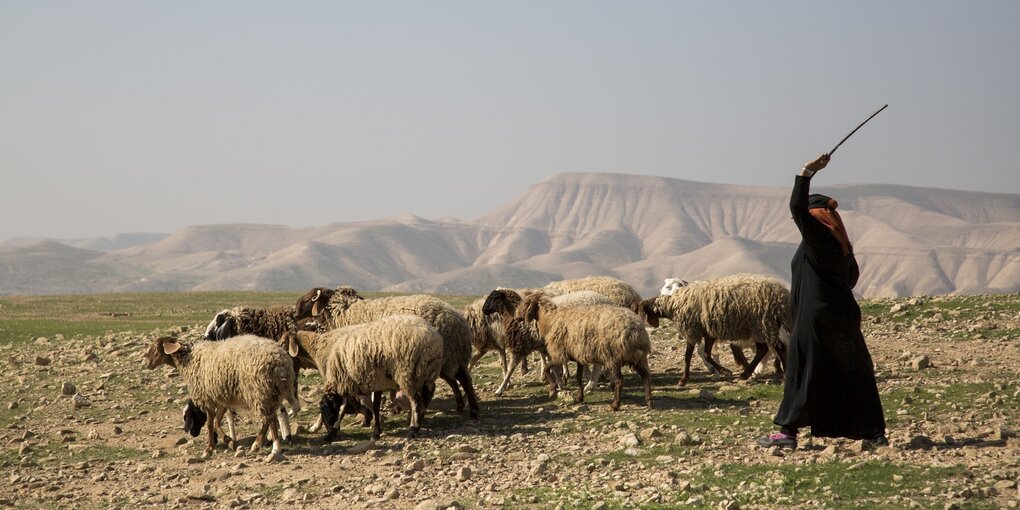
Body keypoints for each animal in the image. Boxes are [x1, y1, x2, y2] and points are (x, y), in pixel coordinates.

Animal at [145, 336, 299, 461]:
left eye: (156, 347)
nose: (147, 362)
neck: (188, 360)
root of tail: (280, 361)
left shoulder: (207, 398)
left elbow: (209, 424)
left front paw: (208, 449)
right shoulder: (222, 399)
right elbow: (217, 422)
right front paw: (230, 442)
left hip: (260, 391)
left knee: (271, 420)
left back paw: (275, 450)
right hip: (273, 393)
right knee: (268, 419)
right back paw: (256, 444)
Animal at [306, 312, 442, 440]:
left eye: (327, 411)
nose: (328, 435)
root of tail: (433, 341)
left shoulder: (354, 383)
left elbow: (345, 409)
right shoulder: (375, 383)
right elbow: (374, 407)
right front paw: (376, 431)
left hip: (407, 375)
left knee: (416, 402)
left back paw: (413, 429)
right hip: (427, 374)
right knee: (427, 397)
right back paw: (419, 421)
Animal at [518, 293, 652, 412]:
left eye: (526, 304)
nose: (517, 316)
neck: (550, 319)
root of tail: (636, 329)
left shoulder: (559, 354)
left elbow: (547, 368)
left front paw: (552, 389)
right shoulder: (578, 356)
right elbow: (578, 377)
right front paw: (579, 397)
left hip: (613, 357)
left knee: (619, 380)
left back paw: (615, 405)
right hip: (635, 357)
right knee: (645, 375)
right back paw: (649, 400)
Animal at [640, 271, 791, 385]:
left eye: (678, 285)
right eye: (667, 286)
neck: (677, 302)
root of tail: (782, 294)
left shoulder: (693, 330)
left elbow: (691, 355)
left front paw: (685, 379)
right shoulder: (708, 333)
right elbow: (705, 353)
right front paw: (719, 371)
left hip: (764, 325)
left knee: (778, 349)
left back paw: (777, 375)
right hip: (759, 329)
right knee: (764, 349)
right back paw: (748, 373)